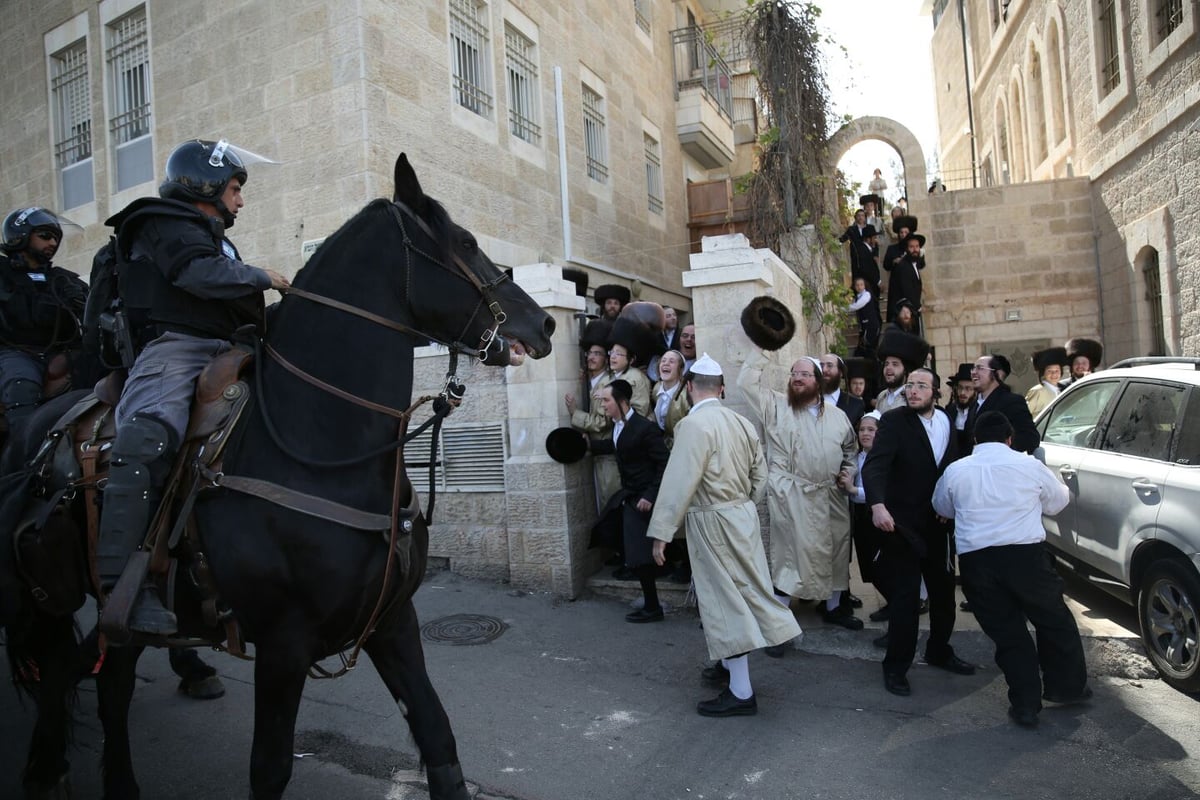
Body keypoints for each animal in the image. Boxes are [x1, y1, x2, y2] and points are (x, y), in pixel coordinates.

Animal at [2, 153, 554, 796]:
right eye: (465, 242)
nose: (543, 325)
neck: (320, 446)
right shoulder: (284, 645)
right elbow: (269, 767)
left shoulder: (393, 622)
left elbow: (439, 738)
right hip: (49, 599)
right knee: (62, 671)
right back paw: (47, 766)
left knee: (104, 679)